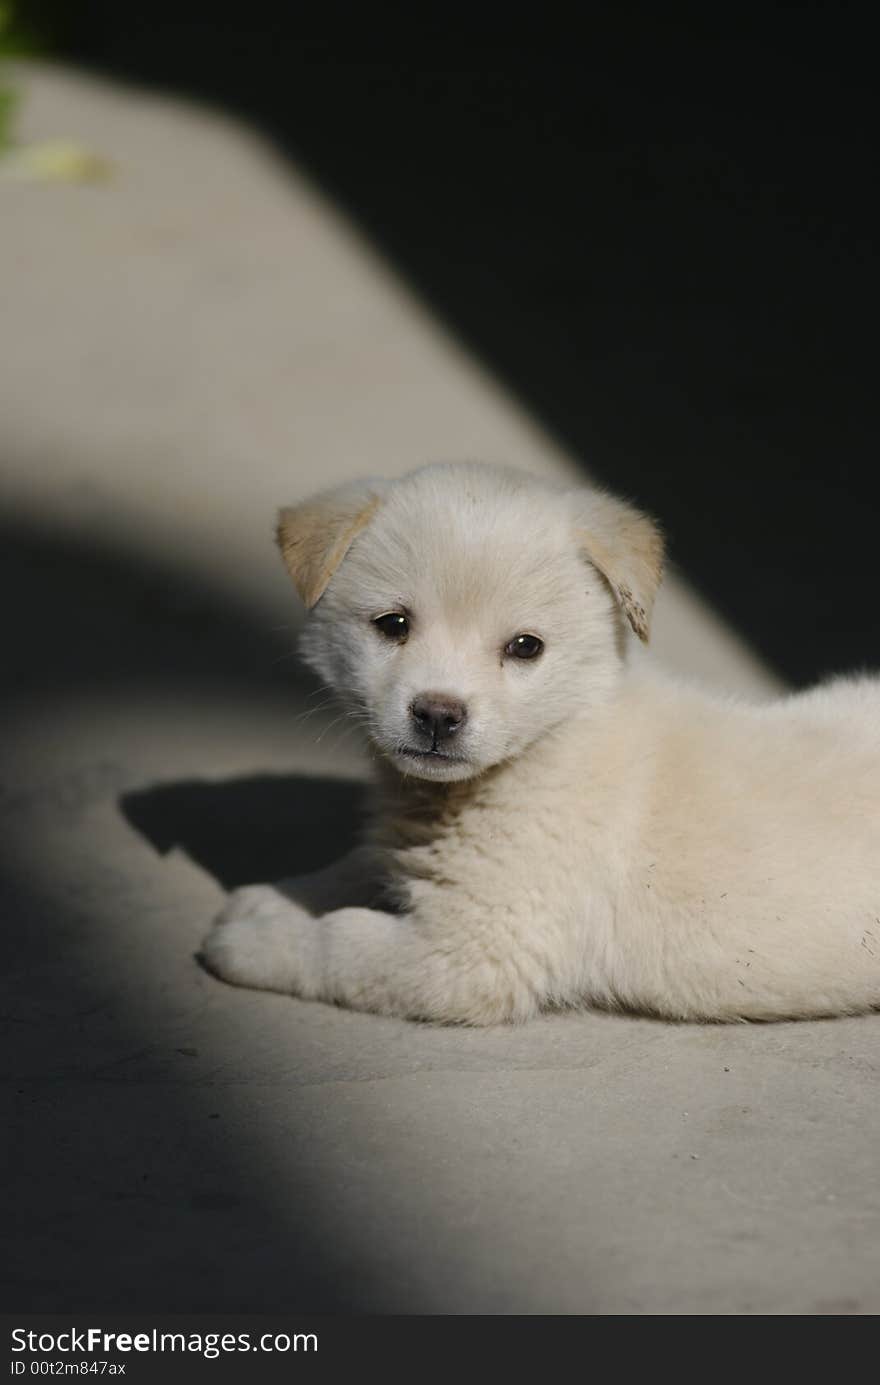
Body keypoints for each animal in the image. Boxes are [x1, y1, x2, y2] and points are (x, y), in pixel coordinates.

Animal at [203, 459, 880, 1024]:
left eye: (525, 647)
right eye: (393, 624)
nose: (438, 716)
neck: (556, 736)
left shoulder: (472, 951)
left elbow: (342, 941)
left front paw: (253, 942)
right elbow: (358, 866)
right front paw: (274, 898)